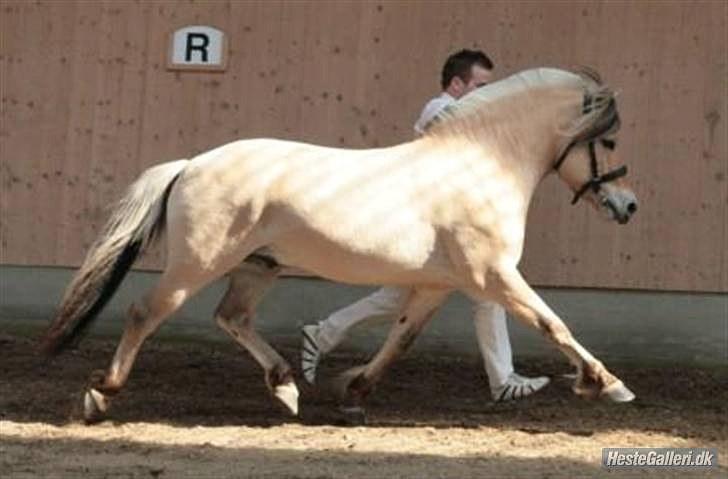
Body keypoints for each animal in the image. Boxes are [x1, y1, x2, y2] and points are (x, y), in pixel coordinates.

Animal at [39, 68, 636, 424]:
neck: (479, 165)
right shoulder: (495, 276)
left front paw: (353, 395)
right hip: (198, 264)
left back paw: (285, 386)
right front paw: (606, 383)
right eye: (608, 140)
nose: (627, 206)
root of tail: (190, 164)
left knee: (232, 317)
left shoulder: (438, 285)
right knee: (146, 312)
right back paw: (100, 395)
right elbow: (553, 323)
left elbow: (400, 338)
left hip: (258, 267)